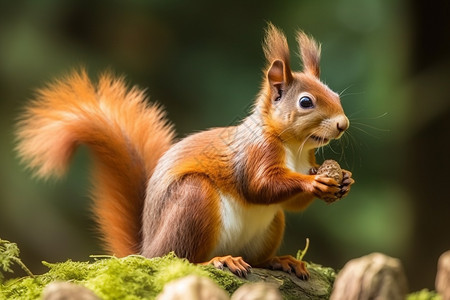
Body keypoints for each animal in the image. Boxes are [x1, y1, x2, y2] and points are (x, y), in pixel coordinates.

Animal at [16, 23, 356, 278]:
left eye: (336, 95)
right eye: (305, 102)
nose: (343, 124)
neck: (294, 148)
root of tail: (147, 250)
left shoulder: (307, 159)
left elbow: (292, 204)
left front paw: (344, 180)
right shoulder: (255, 153)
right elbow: (259, 186)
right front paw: (315, 182)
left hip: (270, 226)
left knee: (256, 254)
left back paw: (279, 260)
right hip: (193, 200)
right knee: (181, 258)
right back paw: (219, 260)